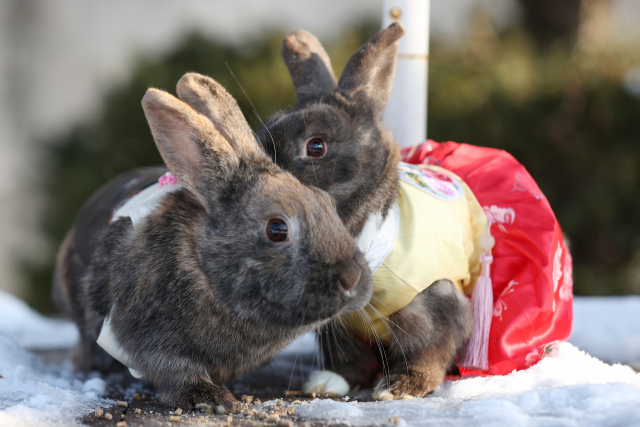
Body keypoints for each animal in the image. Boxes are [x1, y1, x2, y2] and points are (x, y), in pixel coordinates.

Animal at [52, 72, 372, 412]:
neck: (202, 264)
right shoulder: (147, 332)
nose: (353, 278)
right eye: (276, 229)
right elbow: (175, 369)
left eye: (327, 203)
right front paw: (208, 399)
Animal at [255, 25, 476, 402]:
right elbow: (348, 358)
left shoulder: (433, 304)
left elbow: (429, 350)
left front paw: (399, 388)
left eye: (316, 146)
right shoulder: (337, 323)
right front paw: (326, 385)